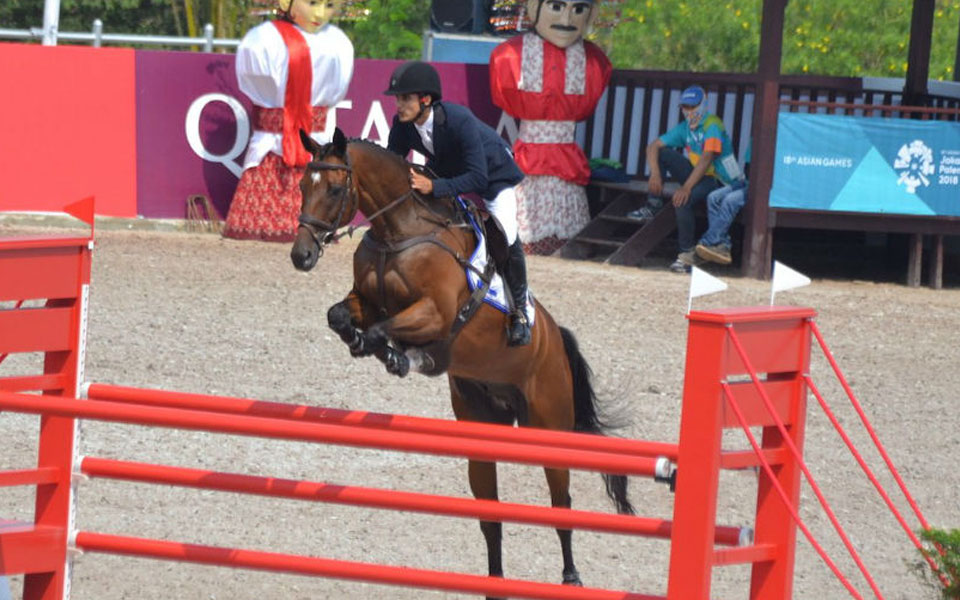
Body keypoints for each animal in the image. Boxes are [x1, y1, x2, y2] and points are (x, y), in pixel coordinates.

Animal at [288, 127, 632, 596]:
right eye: (302, 187)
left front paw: (400, 356)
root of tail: (555, 338)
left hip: (549, 424)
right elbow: (339, 316)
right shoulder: (367, 302)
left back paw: (571, 577)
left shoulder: (436, 313)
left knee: (561, 504)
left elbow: (385, 333)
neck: (399, 231)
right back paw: (495, 582)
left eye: (336, 190)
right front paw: (362, 341)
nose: (301, 256)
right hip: (481, 430)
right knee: (491, 517)